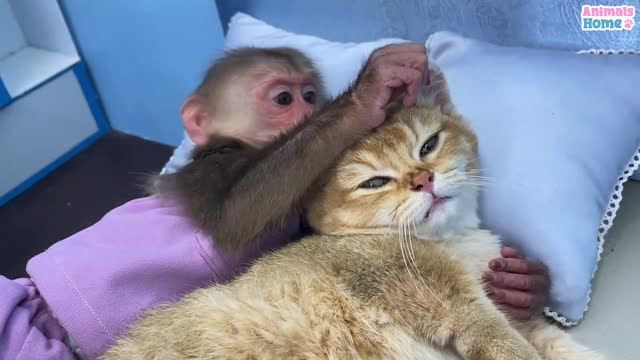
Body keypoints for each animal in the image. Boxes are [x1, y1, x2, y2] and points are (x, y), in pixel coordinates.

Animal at [102, 66, 604, 358]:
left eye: (429, 145)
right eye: (375, 182)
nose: (423, 179)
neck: (450, 244)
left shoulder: (503, 309)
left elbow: (556, 342)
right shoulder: (460, 307)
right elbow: (512, 347)